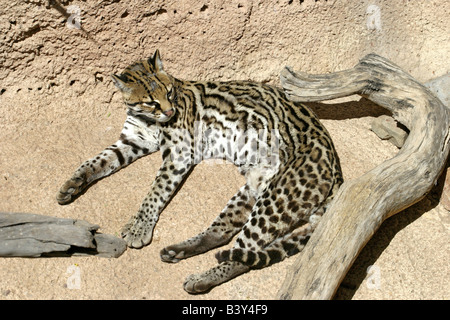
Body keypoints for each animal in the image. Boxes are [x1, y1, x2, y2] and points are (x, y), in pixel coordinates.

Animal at [58, 49, 342, 292]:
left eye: (169, 93)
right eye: (150, 102)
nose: (169, 111)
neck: (147, 119)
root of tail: (337, 169)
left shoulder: (179, 152)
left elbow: (155, 191)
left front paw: (140, 227)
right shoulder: (131, 141)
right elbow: (97, 160)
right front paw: (73, 183)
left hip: (276, 198)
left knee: (243, 255)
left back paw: (202, 278)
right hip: (253, 189)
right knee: (222, 233)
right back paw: (179, 250)